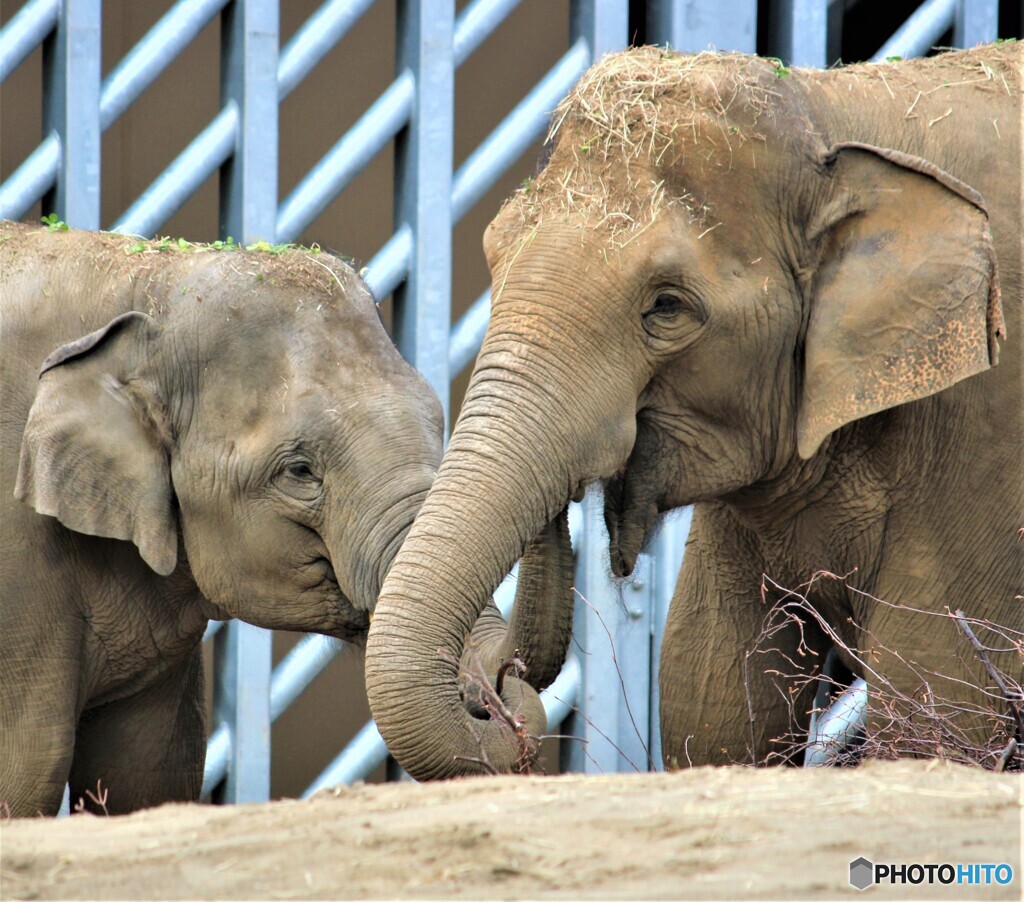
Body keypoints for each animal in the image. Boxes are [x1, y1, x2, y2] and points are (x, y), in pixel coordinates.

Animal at [364, 45, 1019, 782]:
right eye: (492, 254)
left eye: (667, 306)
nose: (500, 689)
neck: (831, 111)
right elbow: (709, 700)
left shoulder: (982, 432)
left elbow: (938, 700)